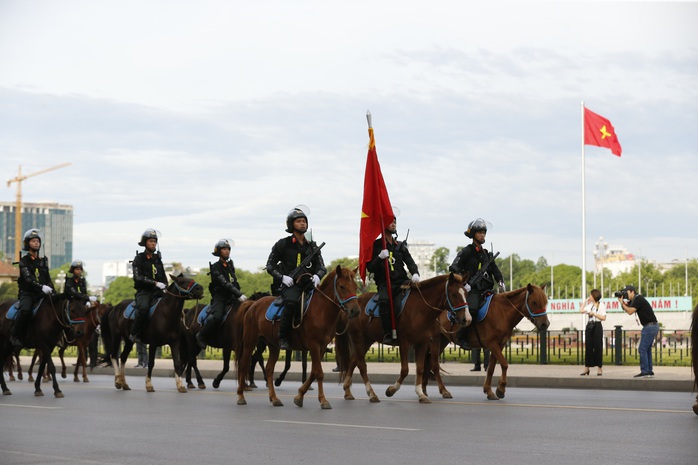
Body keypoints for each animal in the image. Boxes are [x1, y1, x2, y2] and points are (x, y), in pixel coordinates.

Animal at [237, 266, 362, 408]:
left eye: (355, 286)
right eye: (342, 286)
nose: (355, 311)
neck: (321, 310)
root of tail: (253, 304)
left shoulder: (322, 347)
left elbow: (313, 372)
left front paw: (300, 396)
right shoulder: (314, 345)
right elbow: (319, 373)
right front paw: (323, 400)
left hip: (273, 345)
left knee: (269, 369)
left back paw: (274, 398)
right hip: (250, 342)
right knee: (243, 364)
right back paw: (241, 395)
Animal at [334, 272, 464, 402]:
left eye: (466, 293)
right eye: (454, 294)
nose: (464, 318)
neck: (421, 309)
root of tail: (348, 307)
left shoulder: (425, 342)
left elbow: (422, 367)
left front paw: (422, 393)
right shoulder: (406, 342)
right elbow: (406, 370)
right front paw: (391, 390)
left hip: (367, 340)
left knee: (353, 360)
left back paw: (347, 390)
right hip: (358, 338)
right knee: (361, 365)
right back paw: (371, 394)